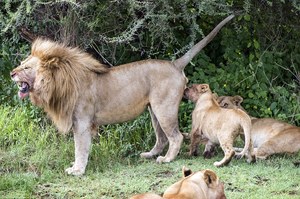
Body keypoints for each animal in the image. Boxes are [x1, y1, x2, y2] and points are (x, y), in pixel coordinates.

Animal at [10, 14, 234, 175]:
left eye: (27, 67)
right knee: (162, 138)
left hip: (164, 108)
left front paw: (78, 170)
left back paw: (166, 159)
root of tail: (174, 64)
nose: (12, 73)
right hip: (154, 110)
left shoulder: (82, 122)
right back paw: (149, 155)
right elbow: (79, 148)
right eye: (21, 63)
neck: (57, 84)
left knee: (176, 136)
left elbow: (80, 148)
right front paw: (75, 167)